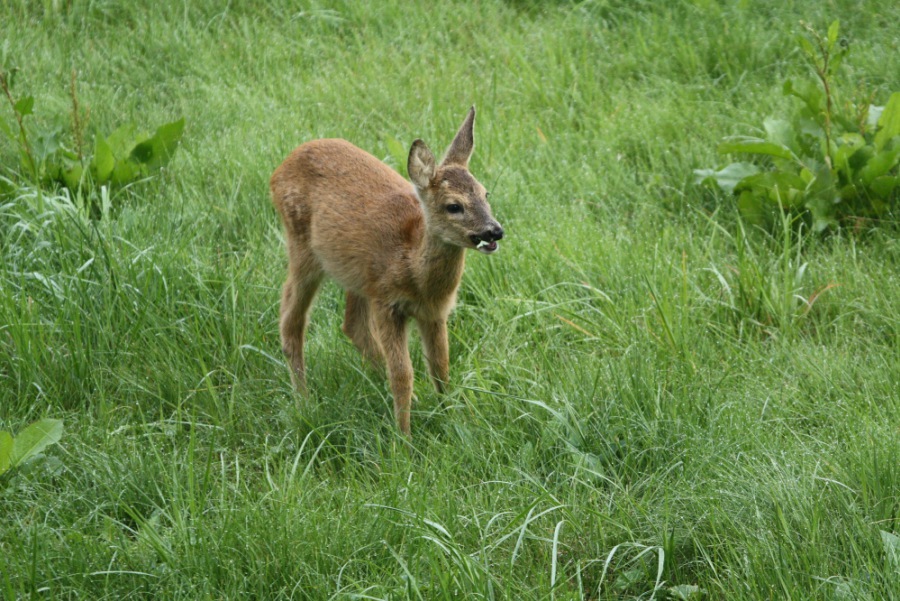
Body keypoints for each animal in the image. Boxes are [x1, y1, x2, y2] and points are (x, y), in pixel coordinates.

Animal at [270, 107, 503, 436]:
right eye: (453, 206)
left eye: (485, 193)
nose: (494, 231)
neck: (412, 266)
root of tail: (279, 169)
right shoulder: (386, 303)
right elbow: (402, 374)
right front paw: (403, 437)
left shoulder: (434, 311)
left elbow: (440, 366)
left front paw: (451, 417)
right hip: (303, 248)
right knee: (291, 318)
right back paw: (303, 402)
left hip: (357, 276)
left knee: (351, 326)